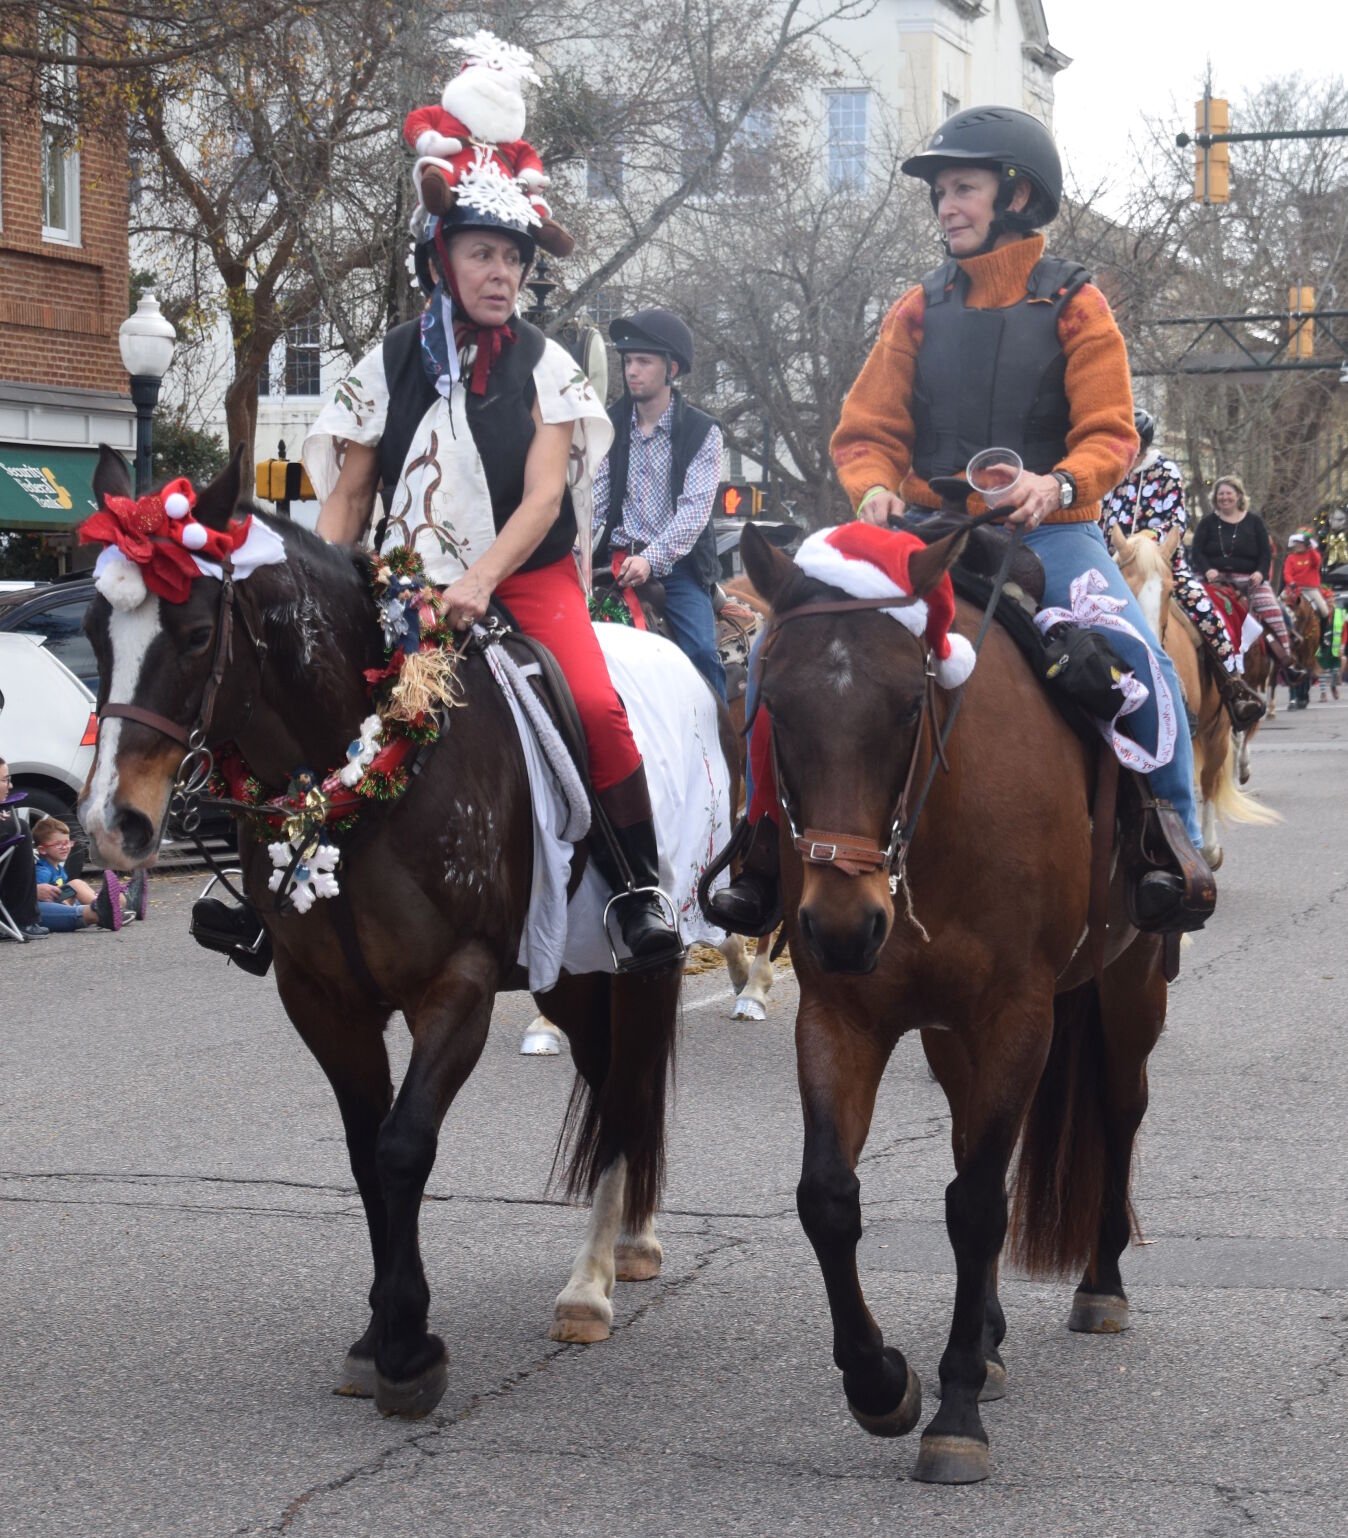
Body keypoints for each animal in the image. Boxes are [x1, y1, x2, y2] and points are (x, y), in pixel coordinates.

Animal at [76, 446, 683, 1414]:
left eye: (198, 635)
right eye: (97, 629)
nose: (112, 826)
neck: (362, 774)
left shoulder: (459, 986)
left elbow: (403, 1147)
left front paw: (408, 1344)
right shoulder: (323, 997)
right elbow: (366, 1154)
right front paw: (377, 1333)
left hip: (611, 966)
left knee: (624, 1088)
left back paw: (591, 1282)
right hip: (570, 976)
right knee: (617, 1083)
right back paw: (626, 1245)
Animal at [726, 519, 1169, 1488]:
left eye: (905, 707)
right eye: (776, 702)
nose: (843, 925)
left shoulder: (1018, 1015)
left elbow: (974, 1206)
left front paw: (955, 1408)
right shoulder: (843, 1017)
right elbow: (829, 1197)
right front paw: (882, 1383)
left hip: (1130, 987)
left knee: (1118, 1112)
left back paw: (1100, 1284)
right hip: (949, 1034)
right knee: (975, 1141)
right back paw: (994, 1336)